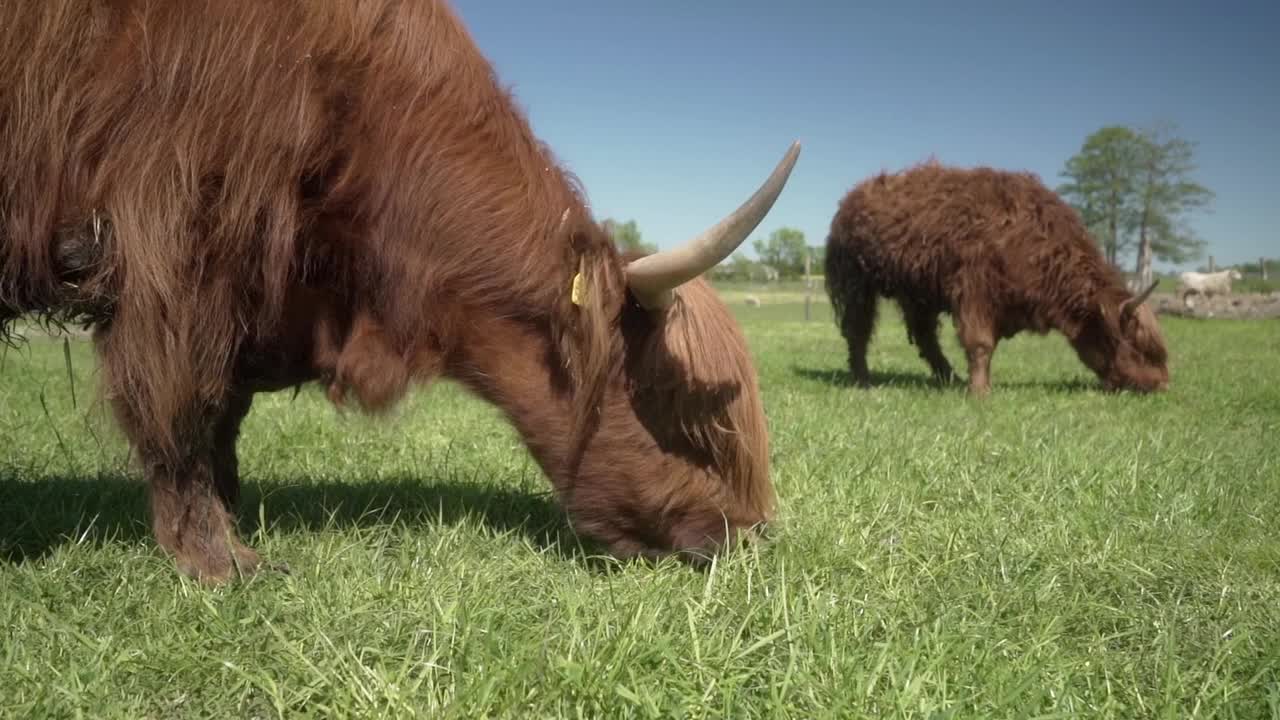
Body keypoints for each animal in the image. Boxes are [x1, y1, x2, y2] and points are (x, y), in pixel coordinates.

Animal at [0, 0, 798, 579]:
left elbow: (223, 415)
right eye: (678, 409)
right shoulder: (172, 243)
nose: (750, 537)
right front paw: (220, 559)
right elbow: (183, 404)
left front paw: (232, 517)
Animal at [819, 161, 1172, 392]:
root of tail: (850, 200)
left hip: (918, 294)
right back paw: (863, 380)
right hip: (857, 285)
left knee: (924, 338)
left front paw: (974, 385)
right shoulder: (974, 293)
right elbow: (980, 345)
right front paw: (980, 393)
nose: (1162, 384)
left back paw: (948, 378)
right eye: (1141, 348)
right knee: (858, 331)